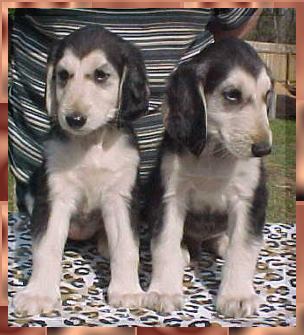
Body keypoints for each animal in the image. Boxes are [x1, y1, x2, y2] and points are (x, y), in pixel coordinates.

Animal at [14, 25, 150, 316]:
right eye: (63, 75)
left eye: (101, 75)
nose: (74, 119)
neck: (91, 143)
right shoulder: (54, 197)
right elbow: (46, 247)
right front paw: (39, 294)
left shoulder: (120, 197)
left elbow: (127, 247)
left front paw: (127, 290)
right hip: (32, 189)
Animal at [142, 38, 274, 318]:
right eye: (232, 94)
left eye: (266, 95)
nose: (263, 150)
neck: (214, 154)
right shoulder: (170, 197)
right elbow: (165, 243)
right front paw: (163, 291)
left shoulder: (251, 199)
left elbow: (243, 247)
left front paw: (237, 296)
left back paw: (223, 241)